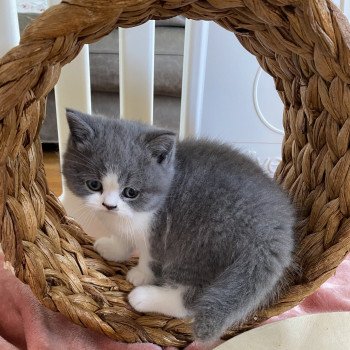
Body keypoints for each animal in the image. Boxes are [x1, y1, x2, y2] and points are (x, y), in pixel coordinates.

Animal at [63, 109, 296, 342]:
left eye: (130, 192)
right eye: (94, 185)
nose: (109, 205)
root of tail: (274, 229)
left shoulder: (158, 231)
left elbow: (149, 257)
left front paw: (140, 275)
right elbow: (123, 238)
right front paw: (112, 249)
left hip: (198, 245)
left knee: (190, 298)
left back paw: (144, 297)